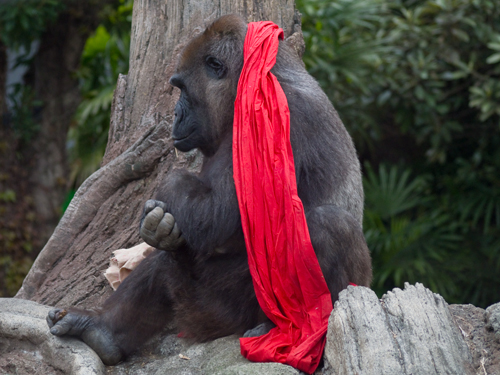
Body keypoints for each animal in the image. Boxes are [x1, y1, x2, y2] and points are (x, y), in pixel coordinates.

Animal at [47, 15, 374, 368]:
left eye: (182, 88)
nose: (175, 115)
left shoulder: (278, 114)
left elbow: (215, 216)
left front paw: (167, 191)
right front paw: (156, 227)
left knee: (329, 225)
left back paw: (290, 331)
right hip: (205, 305)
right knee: (169, 268)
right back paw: (101, 329)